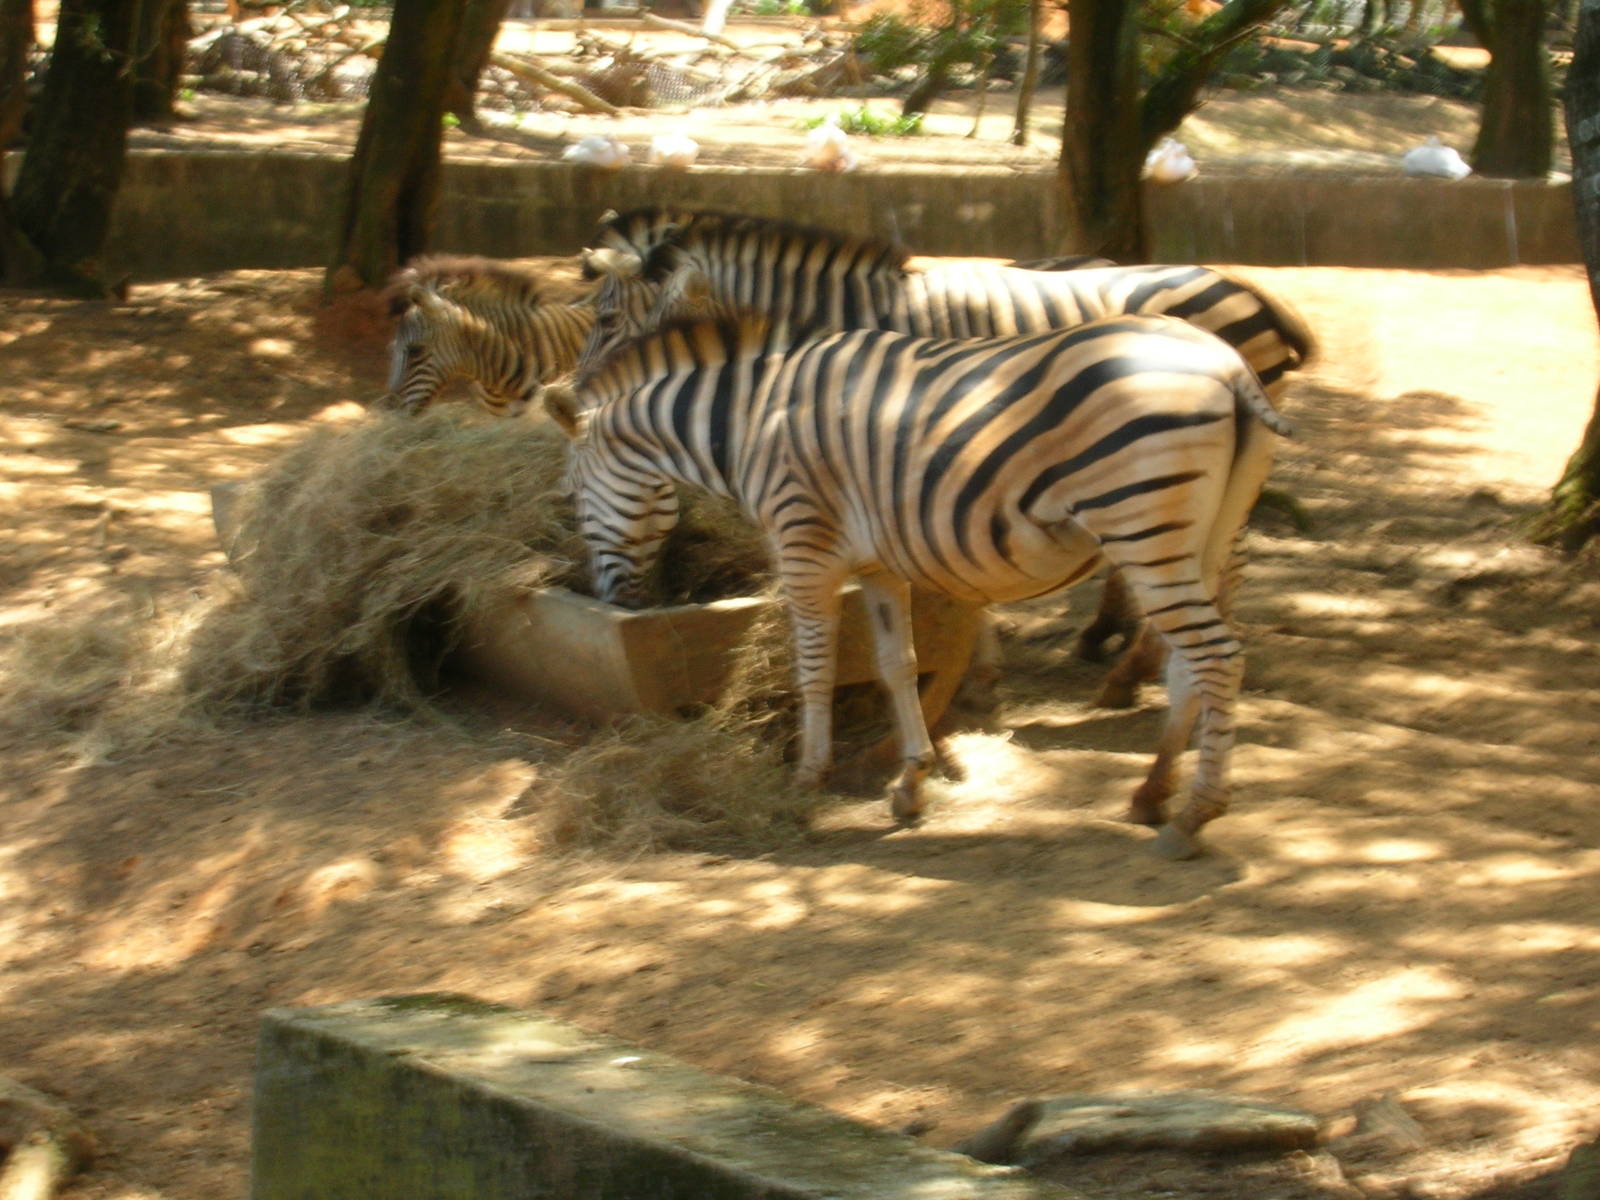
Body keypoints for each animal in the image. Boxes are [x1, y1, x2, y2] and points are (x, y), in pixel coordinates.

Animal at [545, 312, 1293, 860]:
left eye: (572, 496)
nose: (611, 597)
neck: (751, 420)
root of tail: (1226, 363)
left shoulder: (804, 544)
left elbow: (813, 670)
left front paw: (807, 779)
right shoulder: (877, 565)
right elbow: (895, 665)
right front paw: (909, 785)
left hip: (1144, 529)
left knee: (1217, 658)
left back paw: (1195, 814)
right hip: (1205, 538)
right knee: (1188, 666)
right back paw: (1153, 794)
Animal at [577, 206, 1316, 701]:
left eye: (607, 321)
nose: (577, 398)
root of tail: (1247, 288)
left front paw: (970, 671)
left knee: (1217, 562)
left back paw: (1137, 670)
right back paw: (1122, 652)